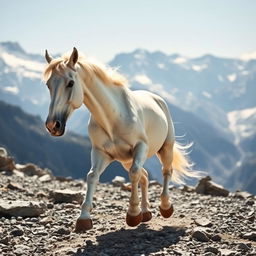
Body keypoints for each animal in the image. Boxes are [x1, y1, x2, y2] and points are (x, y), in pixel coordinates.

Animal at [43, 47, 199, 232]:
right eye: (48, 84)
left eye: (70, 83)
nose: (53, 125)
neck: (113, 118)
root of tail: (157, 99)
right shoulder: (100, 152)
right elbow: (92, 176)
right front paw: (84, 218)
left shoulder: (141, 147)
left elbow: (134, 173)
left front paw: (133, 214)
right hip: (126, 160)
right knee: (145, 176)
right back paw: (146, 212)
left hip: (165, 148)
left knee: (165, 171)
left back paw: (165, 207)